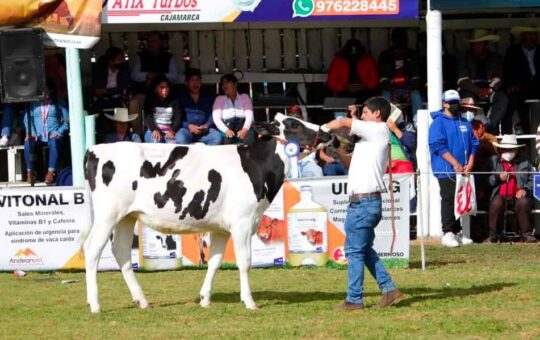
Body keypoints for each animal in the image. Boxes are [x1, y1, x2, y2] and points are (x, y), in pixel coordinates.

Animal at [82, 113, 332, 312]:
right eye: (294, 125)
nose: (327, 133)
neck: (255, 165)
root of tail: (95, 149)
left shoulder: (221, 229)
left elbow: (214, 262)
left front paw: (205, 299)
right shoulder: (242, 223)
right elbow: (245, 261)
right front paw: (249, 301)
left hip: (127, 216)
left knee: (121, 251)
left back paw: (141, 300)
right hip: (107, 215)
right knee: (92, 250)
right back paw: (95, 304)